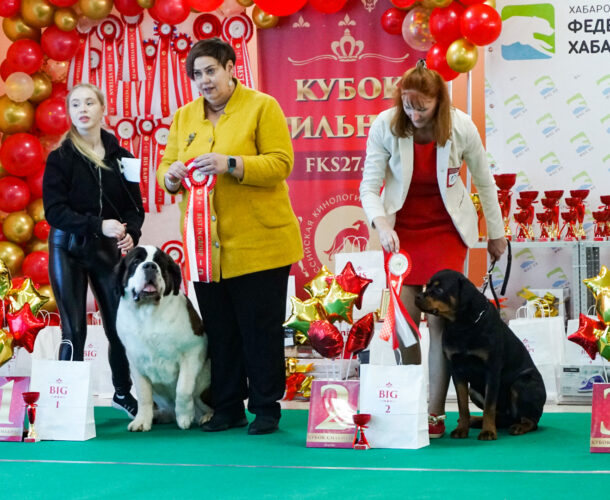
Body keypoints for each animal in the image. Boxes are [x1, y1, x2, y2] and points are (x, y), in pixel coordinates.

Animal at [115, 245, 213, 430]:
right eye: (136, 262)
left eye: (159, 263)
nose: (150, 266)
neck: (148, 312)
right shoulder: (135, 360)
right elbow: (143, 395)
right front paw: (142, 421)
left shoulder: (192, 351)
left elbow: (183, 388)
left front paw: (184, 417)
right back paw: (159, 416)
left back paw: (206, 416)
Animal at [416, 270, 544, 442]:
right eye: (427, 286)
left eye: (439, 289)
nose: (417, 296)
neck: (462, 325)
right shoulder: (457, 370)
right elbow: (462, 405)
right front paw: (462, 429)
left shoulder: (492, 369)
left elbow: (489, 405)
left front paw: (488, 431)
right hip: (474, 391)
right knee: (502, 416)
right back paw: (475, 420)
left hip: (523, 383)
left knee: (529, 419)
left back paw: (519, 426)